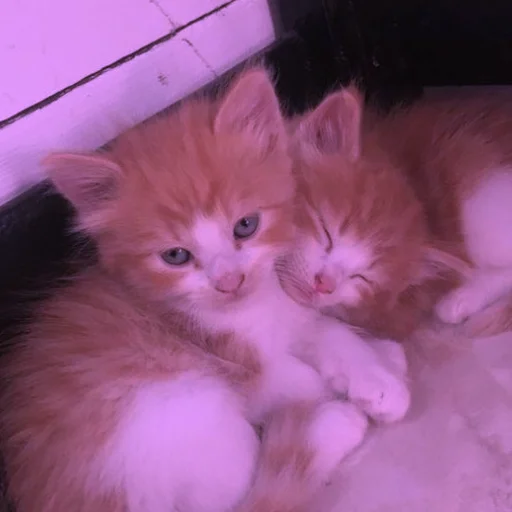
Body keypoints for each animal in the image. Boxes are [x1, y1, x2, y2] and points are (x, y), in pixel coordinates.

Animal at [0, 68, 410, 512]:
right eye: (176, 256)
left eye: (246, 225)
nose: (229, 281)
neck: (254, 304)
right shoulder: (239, 364)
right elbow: (297, 379)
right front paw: (347, 393)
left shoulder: (285, 310)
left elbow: (326, 331)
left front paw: (379, 370)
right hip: (185, 406)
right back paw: (331, 427)